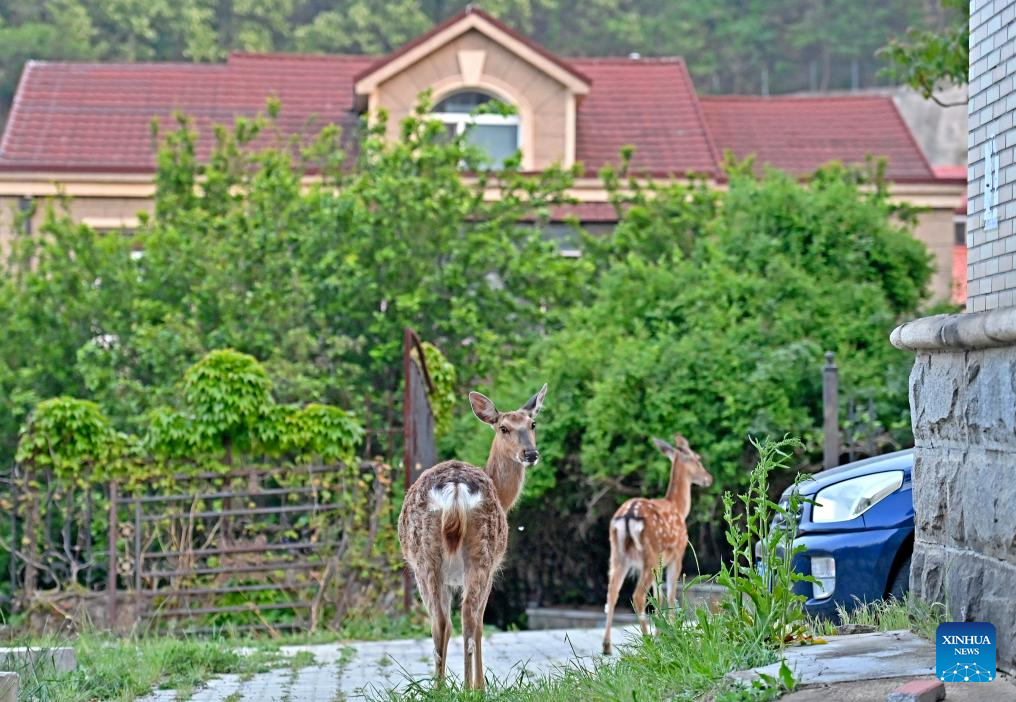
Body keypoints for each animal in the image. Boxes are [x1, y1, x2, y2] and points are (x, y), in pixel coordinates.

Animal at [398, 383, 547, 690]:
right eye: (503, 428)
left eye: (532, 424)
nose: (530, 453)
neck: (504, 497)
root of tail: (456, 488)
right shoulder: (493, 569)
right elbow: (480, 623)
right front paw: (482, 685)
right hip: (482, 553)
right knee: (467, 617)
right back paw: (467, 688)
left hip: (427, 557)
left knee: (442, 621)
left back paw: (441, 689)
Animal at [602, 434, 713, 655]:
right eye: (697, 458)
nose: (708, 478)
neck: (679, 508)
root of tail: (627, 517)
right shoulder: (677, 553)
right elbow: (669, 596)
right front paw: (670, 634)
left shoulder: (660, 563)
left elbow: (659, 596)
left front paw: (662, 632)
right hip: (649, 553)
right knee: (637, 596)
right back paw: (647, 642)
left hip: (618, 555)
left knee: (612, 593)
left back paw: (607, 646)